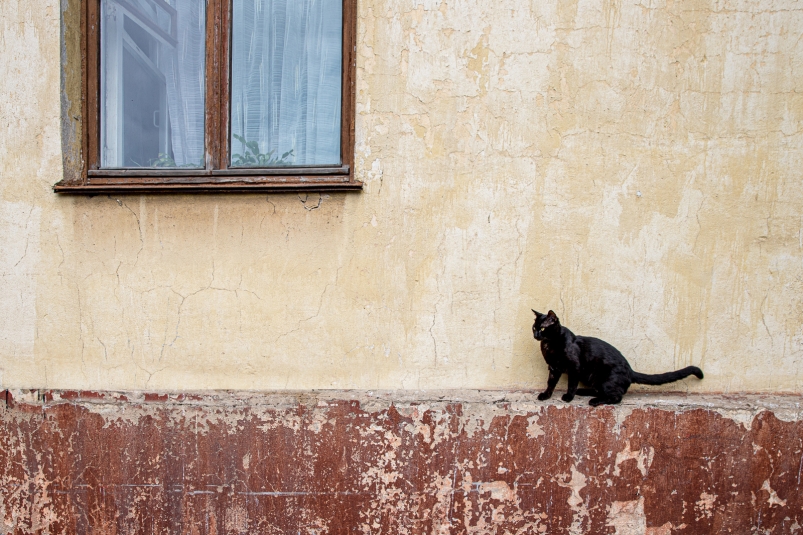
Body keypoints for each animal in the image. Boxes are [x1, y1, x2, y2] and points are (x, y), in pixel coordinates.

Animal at [532, 310, 704, 406]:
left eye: (543, 329)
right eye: (534, 328)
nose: (536, 335)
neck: (549, 344)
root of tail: (631, 371)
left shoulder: (574, 367)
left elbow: (571, 384)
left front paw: (568, 397)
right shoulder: (553, 368)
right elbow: (550, 383)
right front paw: (546, 395)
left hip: (604, 378)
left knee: (616, 397)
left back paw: (594, 401)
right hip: (594, 378)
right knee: (602, 391)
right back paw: (585, 392)